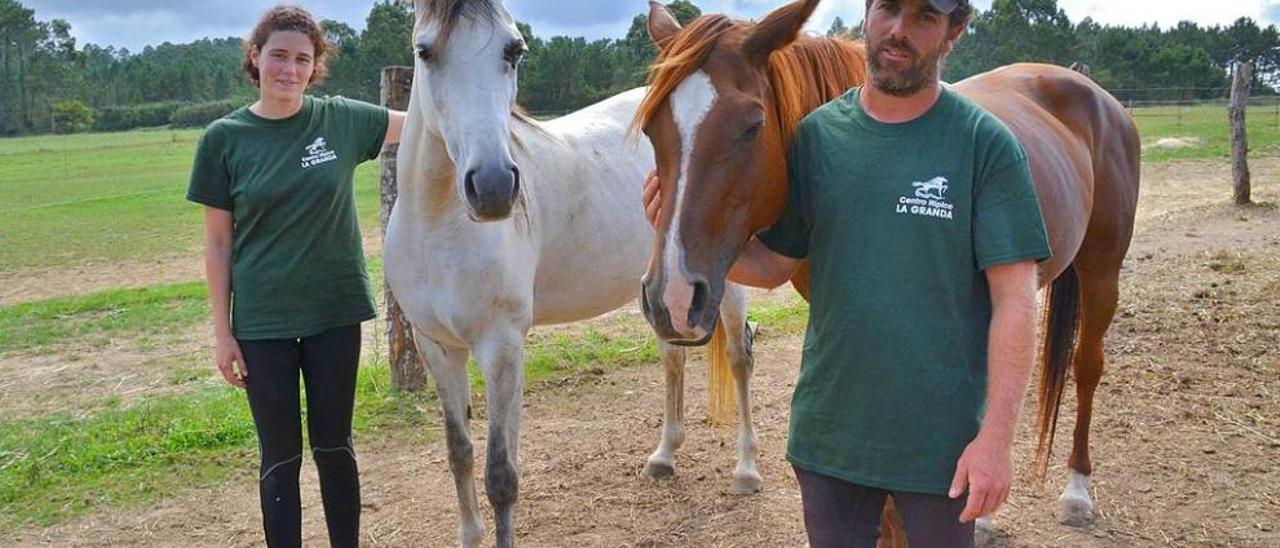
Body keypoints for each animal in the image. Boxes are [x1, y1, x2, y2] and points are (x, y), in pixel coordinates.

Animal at [378, 2, 757, 545]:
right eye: (424, 51)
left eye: (514, 49)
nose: (493, 187)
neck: (439, 225)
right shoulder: (437, 347)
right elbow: (459, 453)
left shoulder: (501, 345)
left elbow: (500, 474)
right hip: (665, 292)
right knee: (672, 356)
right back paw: (664, 456)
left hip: (724, 288)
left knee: (740, 357)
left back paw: (746, 469)